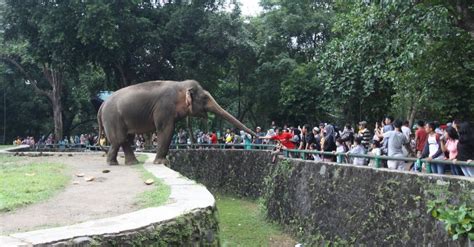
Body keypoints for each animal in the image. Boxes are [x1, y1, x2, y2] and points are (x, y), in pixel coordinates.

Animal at [97, 80, 258, 166]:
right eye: (205, 98)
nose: (259, 138)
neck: (180, 85)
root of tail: (101, 105)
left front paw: (163, 161)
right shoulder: (164, 107)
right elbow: (166, 129)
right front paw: (162, 162)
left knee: (125, 139)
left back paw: (130, 163)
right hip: (112, 118)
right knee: (119, 139)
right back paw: (113, 164)